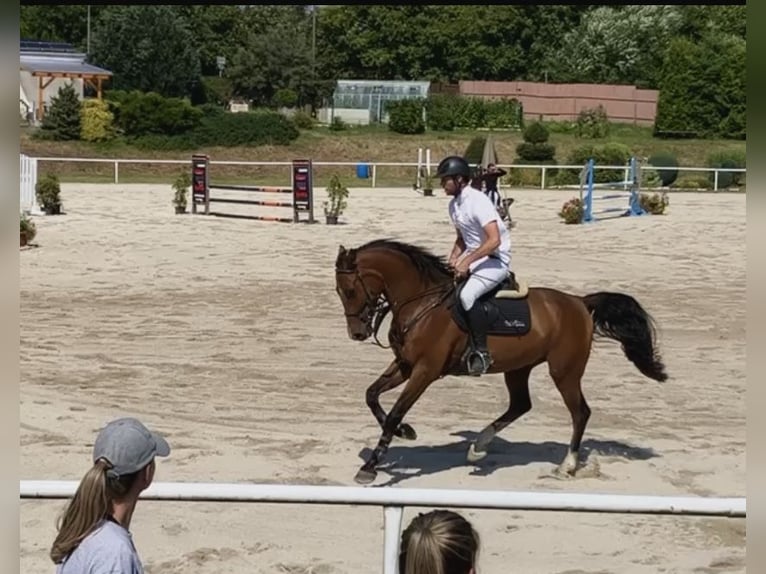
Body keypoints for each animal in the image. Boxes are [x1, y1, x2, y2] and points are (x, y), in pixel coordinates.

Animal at [332, 238, 668, 486]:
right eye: (339, 291)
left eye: (350, 290)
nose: (357, 333)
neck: (421, 303)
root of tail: (579, 303)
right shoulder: (405, 365)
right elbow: (371, 395)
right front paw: (406, 432)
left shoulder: (425, 371)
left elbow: (393, 413)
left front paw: (371, 466)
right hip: (519, 368)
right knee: (521, 405)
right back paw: (478, 448)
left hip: (565, 371)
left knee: (580, 412)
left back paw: (567, 466)